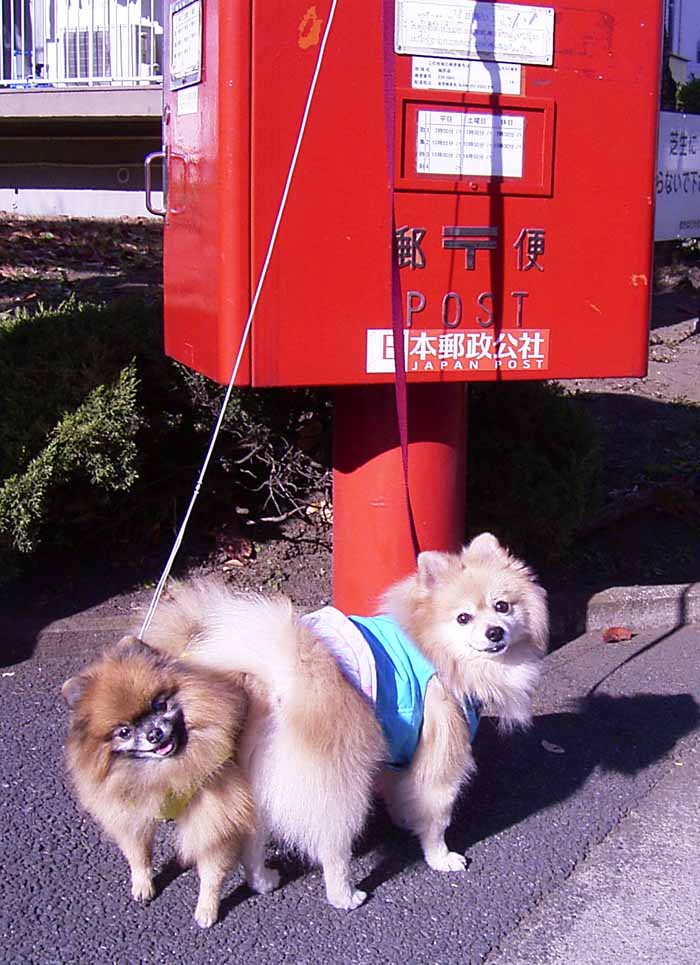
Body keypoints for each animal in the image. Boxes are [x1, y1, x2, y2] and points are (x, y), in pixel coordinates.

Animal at [62, 632, 254, 928]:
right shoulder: (129, 813)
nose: (154, 734)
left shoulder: (215, 815)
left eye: (159, 705)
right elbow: (138, 853)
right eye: (124, 732)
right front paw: (143, 884)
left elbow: (212, 870)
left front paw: (207, 908)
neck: (162, 773)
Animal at [142, 536, 548, 912]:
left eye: (502, 606)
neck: (434, 648)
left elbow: (403, 791)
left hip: (256, 776)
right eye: (463, 618)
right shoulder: (441, 752)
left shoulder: (400, 746)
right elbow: (436, 813)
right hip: (337, 777)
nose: (495, 632)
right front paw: (440, 856)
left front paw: (405, 819)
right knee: (332, 843)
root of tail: (277, 678)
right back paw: (344, 895)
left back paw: (262, 879)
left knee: (254, 833)